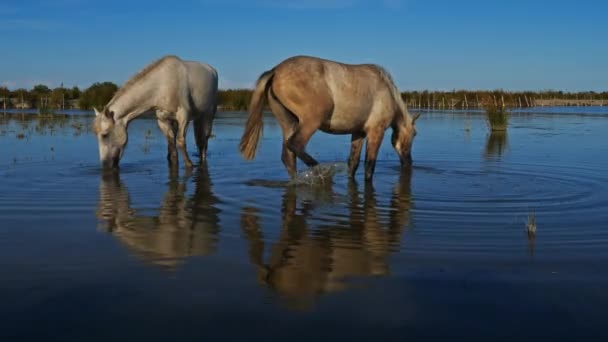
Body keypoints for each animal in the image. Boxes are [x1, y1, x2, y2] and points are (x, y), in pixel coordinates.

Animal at [240, 55, 420, 182]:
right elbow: (369, 166)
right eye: (415, 134)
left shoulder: (358, 132)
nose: (409, 163)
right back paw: (322, 172)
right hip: (310, 122)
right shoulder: (376, 131)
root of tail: (275, 70)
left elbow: (353, 164)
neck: (388, 92)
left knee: (288, 157)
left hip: (289, 122)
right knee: (296, 145)